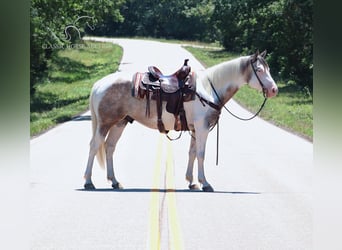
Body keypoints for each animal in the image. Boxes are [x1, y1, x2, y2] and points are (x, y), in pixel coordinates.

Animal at [83, 50, 278, 191]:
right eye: (259, 70)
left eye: (269, 69)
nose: (274, 90)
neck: (208, 89)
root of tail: (99, 84)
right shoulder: (202, 128)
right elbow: (201, 154)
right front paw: (205, 183)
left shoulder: (195, 129)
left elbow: (192, 153)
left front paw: (191, 182)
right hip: (105, 123)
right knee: (94, 146)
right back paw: (88, 182)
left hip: (120, 122)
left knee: (109, 147)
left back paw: (114, 181)